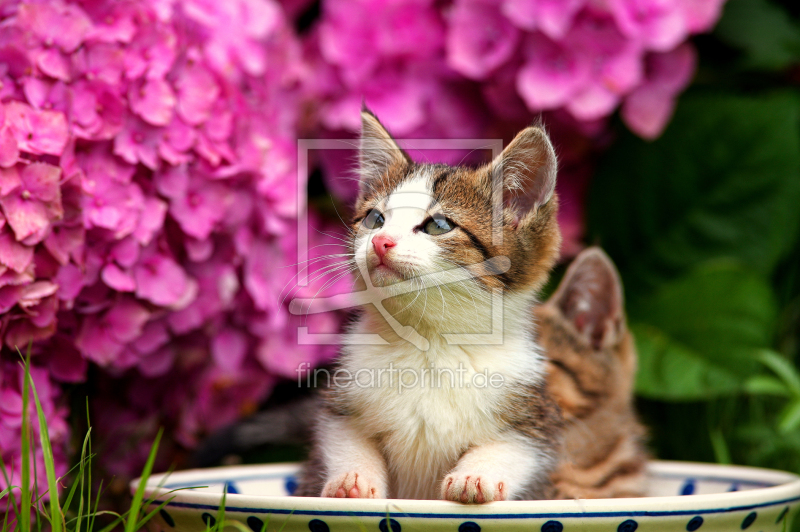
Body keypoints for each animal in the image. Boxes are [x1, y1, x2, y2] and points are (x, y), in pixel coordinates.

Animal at [294, 111, 564, 502]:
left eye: (438, 225)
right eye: (375, 219)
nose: (380, 241)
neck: (427, 340)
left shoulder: (535, 418)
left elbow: (513, 449)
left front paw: (476, 476)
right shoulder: (341, 401)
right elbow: (345, 439)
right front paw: (352, 478)